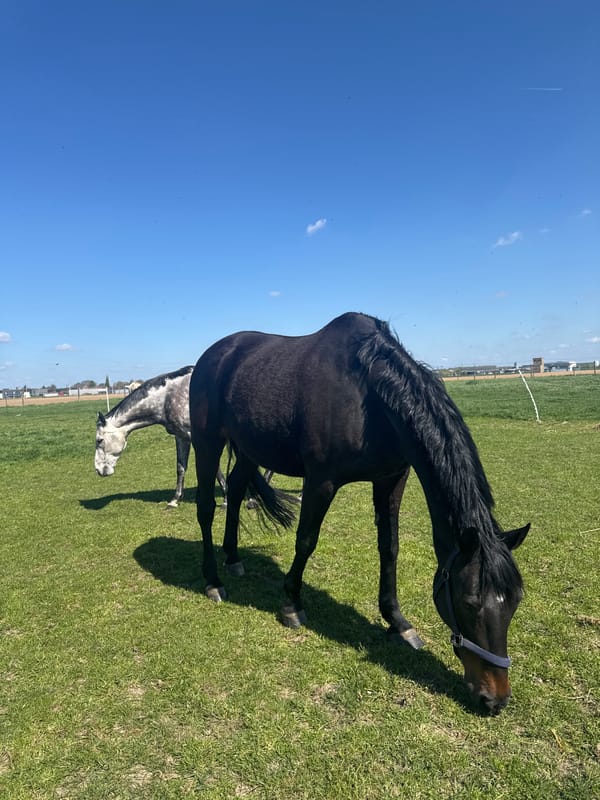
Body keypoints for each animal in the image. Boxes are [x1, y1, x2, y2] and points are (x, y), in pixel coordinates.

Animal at [95, 366, 227, 507]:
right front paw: (175, 500)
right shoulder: (182, 437)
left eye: (99, 440)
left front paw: (225, 500)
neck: (170, 396)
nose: (98, 469)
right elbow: (180, 467)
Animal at [189, 312, 530, 714]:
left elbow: (390, 547)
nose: (495, 698)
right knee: (207, 507)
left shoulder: (391, 479)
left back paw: (233, 558)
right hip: (207, 442)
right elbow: (306, 541)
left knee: (237, 489)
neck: (369, 396)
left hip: (248, 448)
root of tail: (214, 354)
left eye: (515, 601)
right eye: (469, 602)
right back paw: (213, 580)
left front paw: (397, 621)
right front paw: (291, 605)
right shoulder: (321, 481)